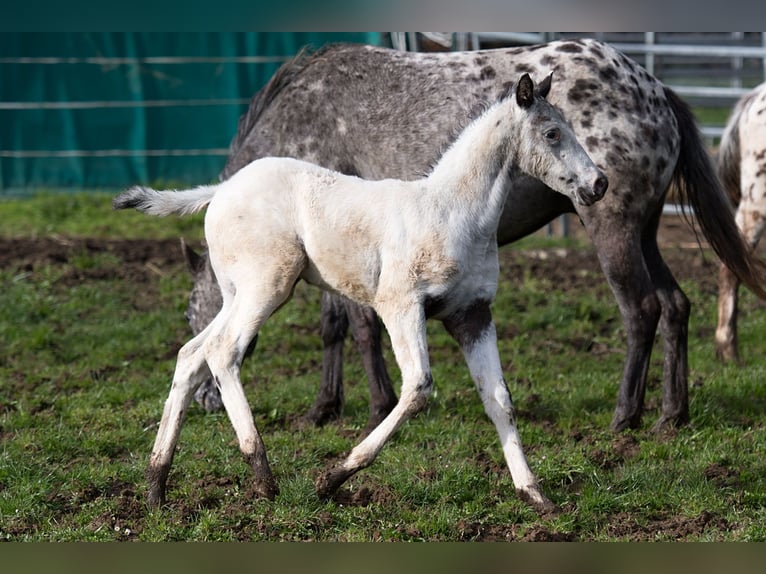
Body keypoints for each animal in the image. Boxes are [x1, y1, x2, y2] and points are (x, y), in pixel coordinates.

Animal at [112, 74, 608, 516]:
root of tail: (221, 190)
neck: (452, 213)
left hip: (238, 293)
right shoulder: (401, 305)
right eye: (552, 133)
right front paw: (331, 479)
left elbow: (500, 399)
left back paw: (156, 487)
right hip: (267, 286)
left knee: (191, 354)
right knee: (222, 352)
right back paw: (262, 478)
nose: (598, 183)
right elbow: (418, 388)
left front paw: (536, 496)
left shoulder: (473, 315)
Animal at [184, 39, 766, 436]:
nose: (206, 400)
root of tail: (655, 89)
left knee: (641, 310)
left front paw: (376, 405)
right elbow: (335, 328)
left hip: (614, 229)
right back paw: (672, 413)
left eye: (191, 318)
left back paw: (625, 416)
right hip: (644, 232)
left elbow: (362, 328)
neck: (301, 123)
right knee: (674, 305)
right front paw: (325, 408)